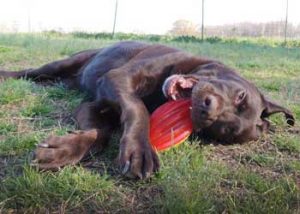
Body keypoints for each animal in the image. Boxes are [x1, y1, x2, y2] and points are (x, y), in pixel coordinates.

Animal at [0, 41, 296, 178]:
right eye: (240, 97)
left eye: (220, 130)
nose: (206, 112)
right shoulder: (117, 79)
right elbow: (137, 108)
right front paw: (139, 150)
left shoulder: (91, 106)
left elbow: (101, 133)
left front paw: (62, 150)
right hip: (62, 63)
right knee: (31, 72)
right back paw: (8, 74)